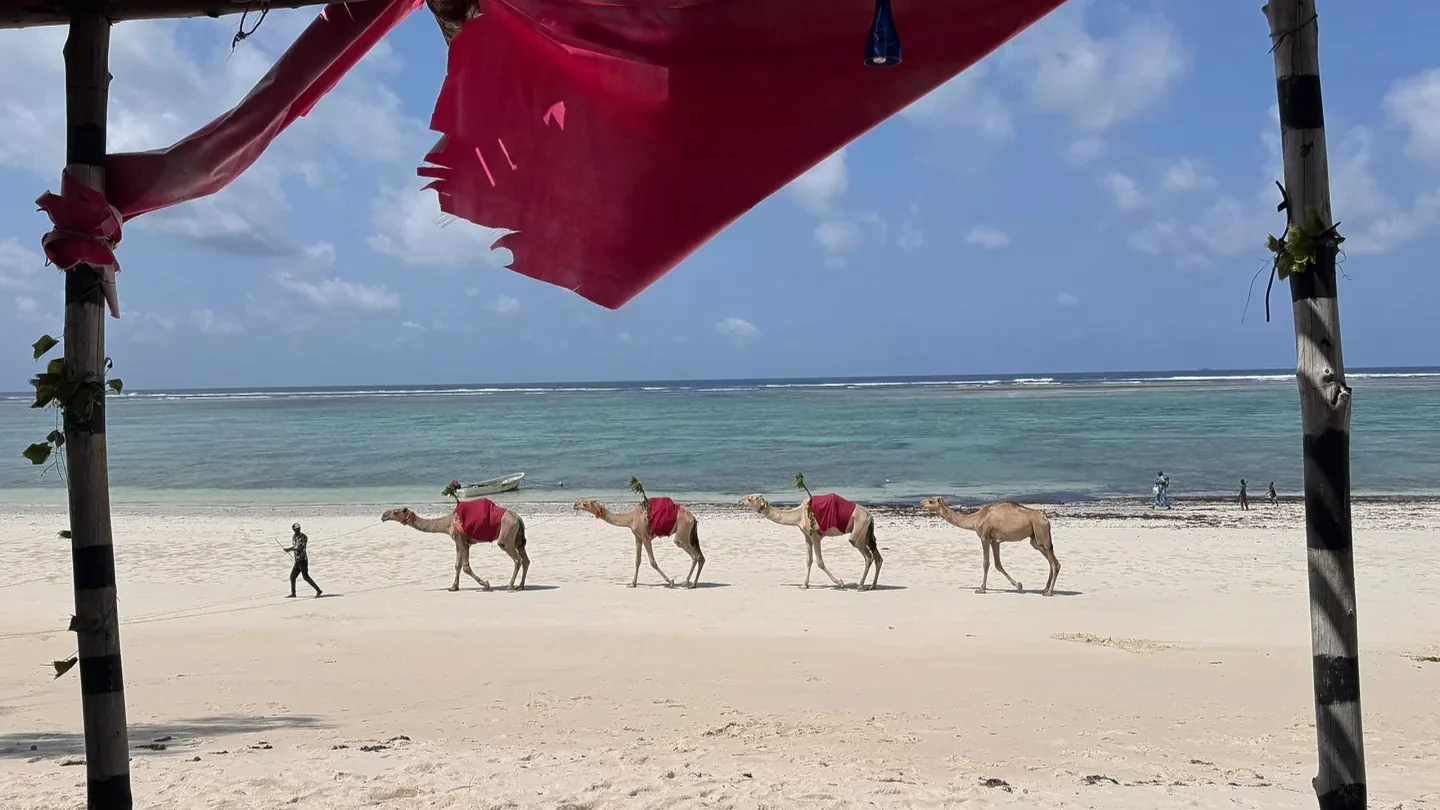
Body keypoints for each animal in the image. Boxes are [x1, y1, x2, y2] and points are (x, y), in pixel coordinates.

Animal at [381, 498, 530, 591]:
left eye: (395, 511)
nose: (383, 515)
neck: (447, 523)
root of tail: (518, 518)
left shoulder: (463, 542)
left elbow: (466, 567)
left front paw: (486, 584)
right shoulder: (458, 543)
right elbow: (457, 566)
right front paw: (453, 587)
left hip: (506, 534)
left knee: (516, 558)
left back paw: (510, 586)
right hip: (517, 536)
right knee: (525, 559)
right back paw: (520, 586)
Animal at [574, 496, 705, 588]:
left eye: (585, 503)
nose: (575, 504)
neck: (631, 518)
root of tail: (693, 518)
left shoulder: (646, 537)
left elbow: (652, 562)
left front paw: (670, 582)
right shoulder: (638, 538)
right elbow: (637, 561)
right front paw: (632, 583)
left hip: (682, 534)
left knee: (694, 555)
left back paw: (687, 583)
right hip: (690, 535)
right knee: (701, 557)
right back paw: (692, 583)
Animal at [738, 493, 881, 590]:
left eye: (750, 498)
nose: (739, 501)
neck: (799, 515)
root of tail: (869, 514)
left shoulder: (815, 536)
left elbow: (819, 562)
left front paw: (840, 582)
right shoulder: (807, 536)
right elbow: (808, 560)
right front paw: (804, 585)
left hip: (858, 530)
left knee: (867, 556)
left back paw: (861, 585)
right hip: (867, 532)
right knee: (877, 557)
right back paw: (873, 586)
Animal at [920, 497, 1060, 597]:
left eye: (931, 500)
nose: (921, 502)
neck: (976, 519)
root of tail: (1046, 520)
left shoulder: (985, 537)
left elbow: (986, 563)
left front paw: (981, 589)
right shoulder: (995, 541)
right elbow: (998, 564)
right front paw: (1019, 585)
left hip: (1041, 532)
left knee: (1054, 562)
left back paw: (1049, 592)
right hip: (1035, 539)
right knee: (1052, 561)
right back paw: (1045, 589)